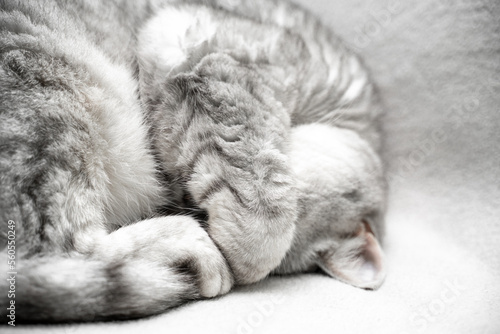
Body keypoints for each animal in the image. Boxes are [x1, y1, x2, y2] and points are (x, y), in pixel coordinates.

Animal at [0, 0, 384, 324]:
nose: (184, 199)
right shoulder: (205, 54)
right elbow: (263, 230)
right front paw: (239, 259)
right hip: (56, 102)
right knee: (61, 253)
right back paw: (190, 249)